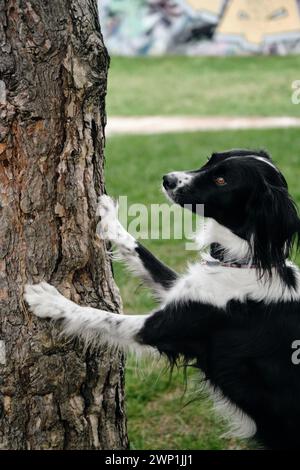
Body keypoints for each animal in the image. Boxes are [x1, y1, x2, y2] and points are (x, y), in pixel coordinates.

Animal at [25, 151, 300, 452]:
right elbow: (139, 250)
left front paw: (49, 301)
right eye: (211, 160)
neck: (246, 262)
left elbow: (100, 316)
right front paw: (109, 217)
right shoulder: (177, 291)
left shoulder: (162, 328)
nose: (168, 179)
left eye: (221, 180)